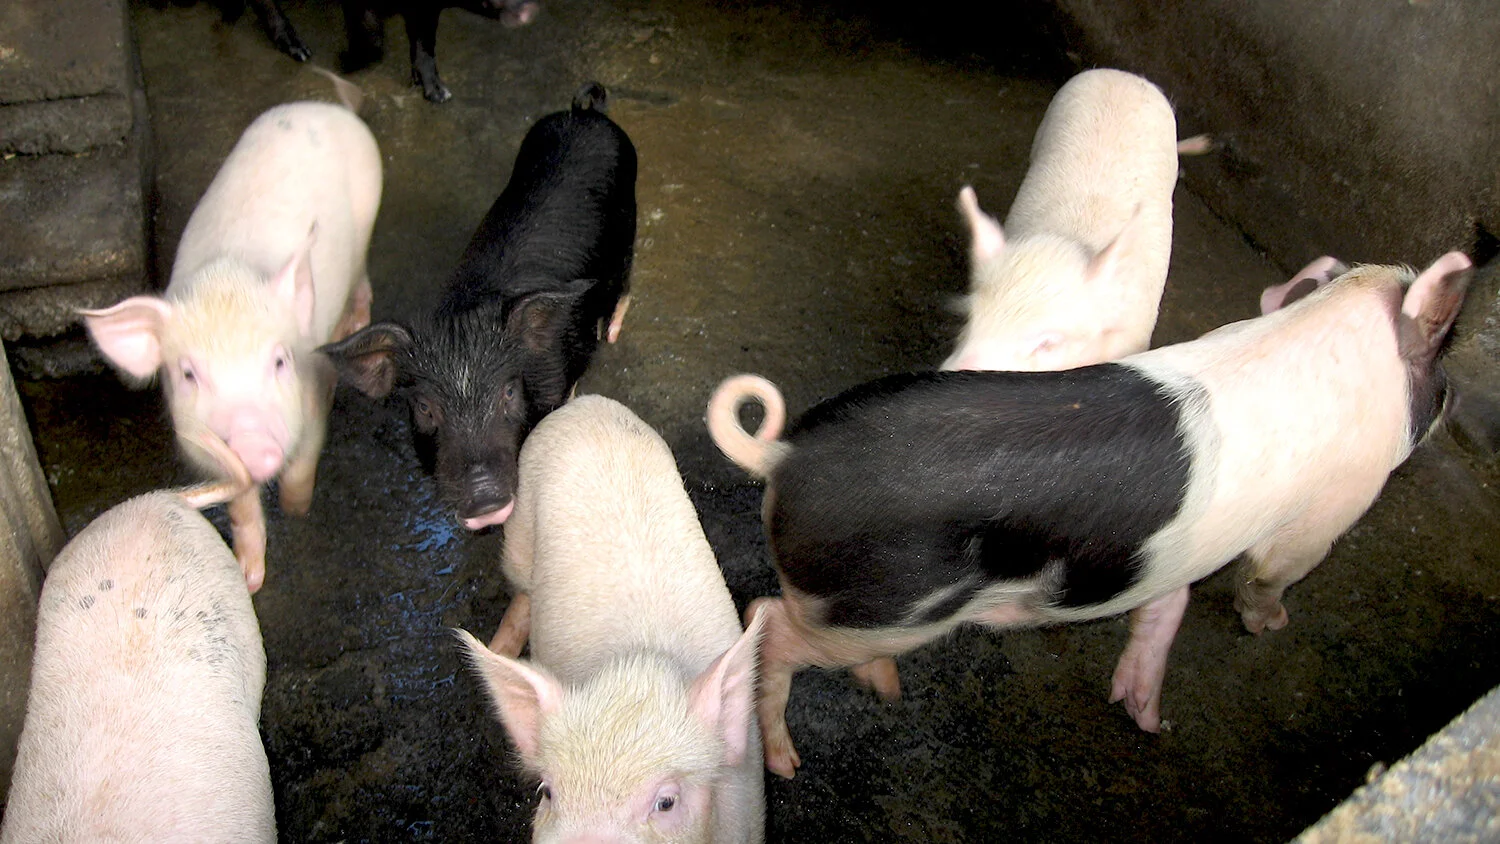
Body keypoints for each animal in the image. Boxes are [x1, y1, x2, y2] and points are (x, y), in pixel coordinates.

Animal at [81, 83, 382, 594]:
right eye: (188, 374)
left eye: (280, 361)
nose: (252, 442)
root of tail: (325, 108)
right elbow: (241, 508)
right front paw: (249, 580)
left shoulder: (313, 397)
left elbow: (303, 465)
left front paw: (297, 512)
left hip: (368, 213)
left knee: (363, 278)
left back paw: (353, 325)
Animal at [708, 252, 1473, 778]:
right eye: (1443, 368)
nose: (1457, 398)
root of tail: (783, 454)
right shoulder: (1325, 515)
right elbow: (1270, 576)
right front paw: (1271, 624)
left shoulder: (1170, 556)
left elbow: (1165, 607)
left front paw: (1146, 717)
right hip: (879, 608)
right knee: (767, 620)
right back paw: (784, 762)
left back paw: (885, 690)